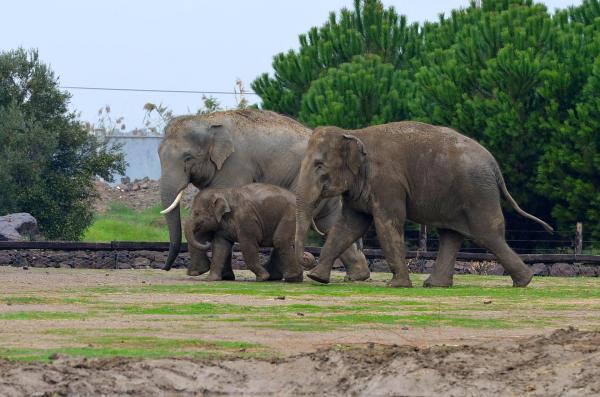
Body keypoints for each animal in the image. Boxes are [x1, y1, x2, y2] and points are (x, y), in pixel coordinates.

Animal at [157, 107, 368, 278]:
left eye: (188, 158)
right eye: (158, 154)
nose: (165, 268)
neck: (208, 119)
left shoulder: (235, 164)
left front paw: (207, 272)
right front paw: (220, 275)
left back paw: (276, 274)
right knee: (330, 224)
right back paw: (357, 275)